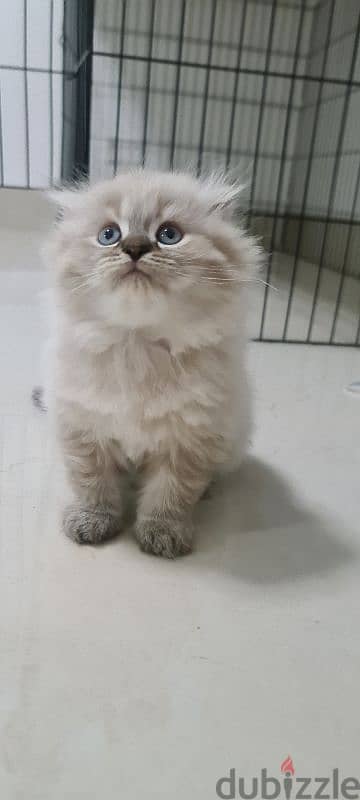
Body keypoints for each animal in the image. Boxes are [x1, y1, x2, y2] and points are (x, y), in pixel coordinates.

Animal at [45, 169, 262, 556]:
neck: (137, 346)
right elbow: (92, 483)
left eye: (169, 235)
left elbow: (171, 493)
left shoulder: (191, 437)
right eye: (108, 235)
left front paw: (163, 534)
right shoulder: (84, 427)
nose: (134, 247)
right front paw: (91, 522)